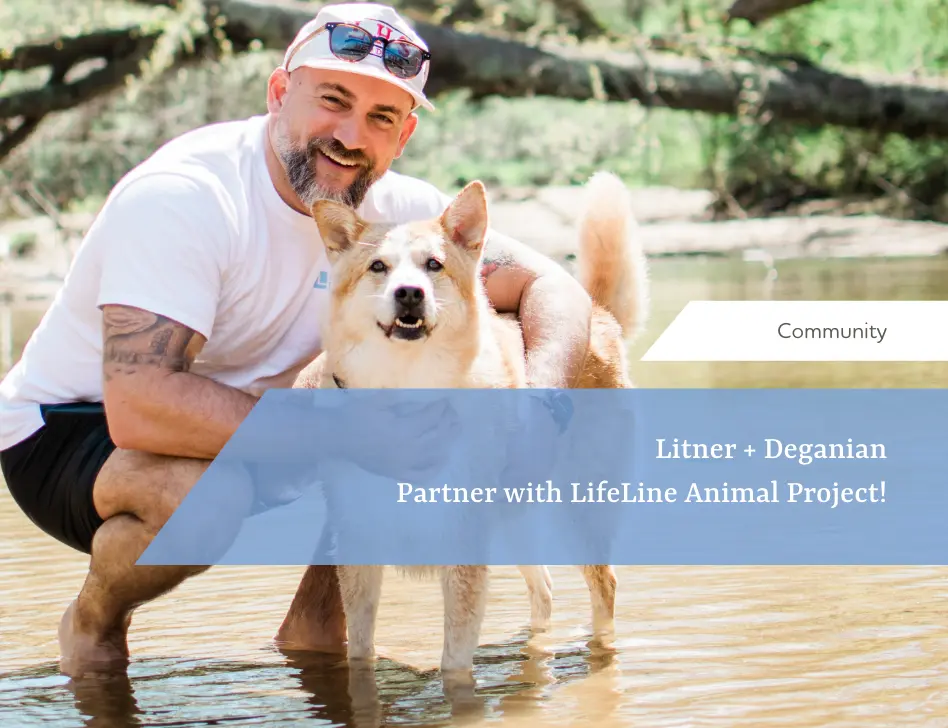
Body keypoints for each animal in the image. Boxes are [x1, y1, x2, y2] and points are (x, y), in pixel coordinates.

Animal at [294, 172, 652, 684]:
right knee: (544, 589)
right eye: (378, 266)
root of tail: (597, 314)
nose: (410, 293)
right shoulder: (360, 550)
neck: (408, 392)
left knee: (604, 589)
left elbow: (455, 666)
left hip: (581, 513)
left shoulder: (462, 553)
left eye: (434, 264)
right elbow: (360, 656)